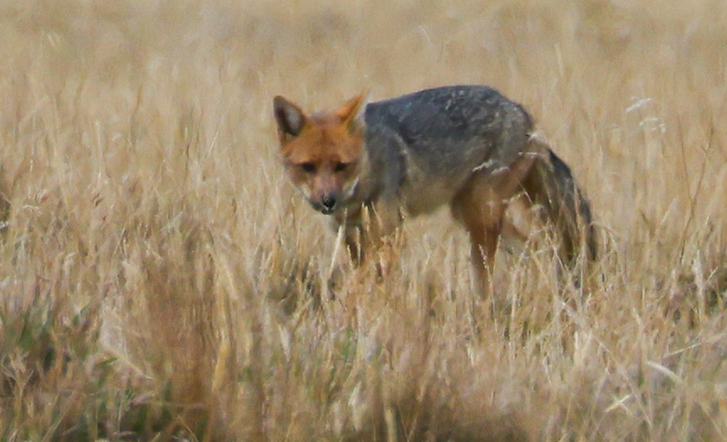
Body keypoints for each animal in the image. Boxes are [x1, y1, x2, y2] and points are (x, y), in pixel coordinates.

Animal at [273, 85, 596, 294]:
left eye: (342, 166)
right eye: (308, 167)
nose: (328, 201)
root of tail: (519, 110)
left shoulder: (390, 234)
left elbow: (370, 283)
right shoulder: (354, 240)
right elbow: (366, 279)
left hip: (481, 218)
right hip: (473, 217)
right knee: (539, 251)